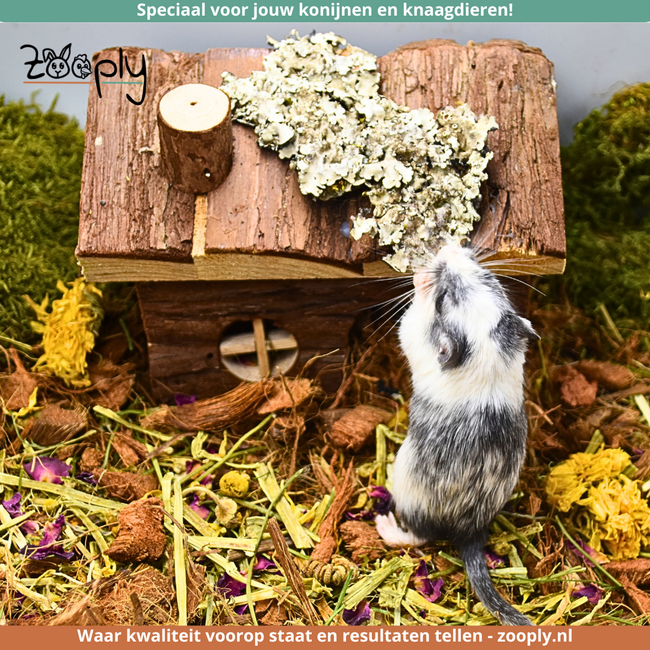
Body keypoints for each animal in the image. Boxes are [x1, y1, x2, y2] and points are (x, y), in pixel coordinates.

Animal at [375, 243, 537, 626]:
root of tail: (469, 535)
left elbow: (409, 323)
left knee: (419, 539)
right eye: (487, 276)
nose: (451, 249)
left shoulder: (415, 337)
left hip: (406, 490)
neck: (485, 354)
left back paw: (385, 525)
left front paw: (421, 280)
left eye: (443, 300)